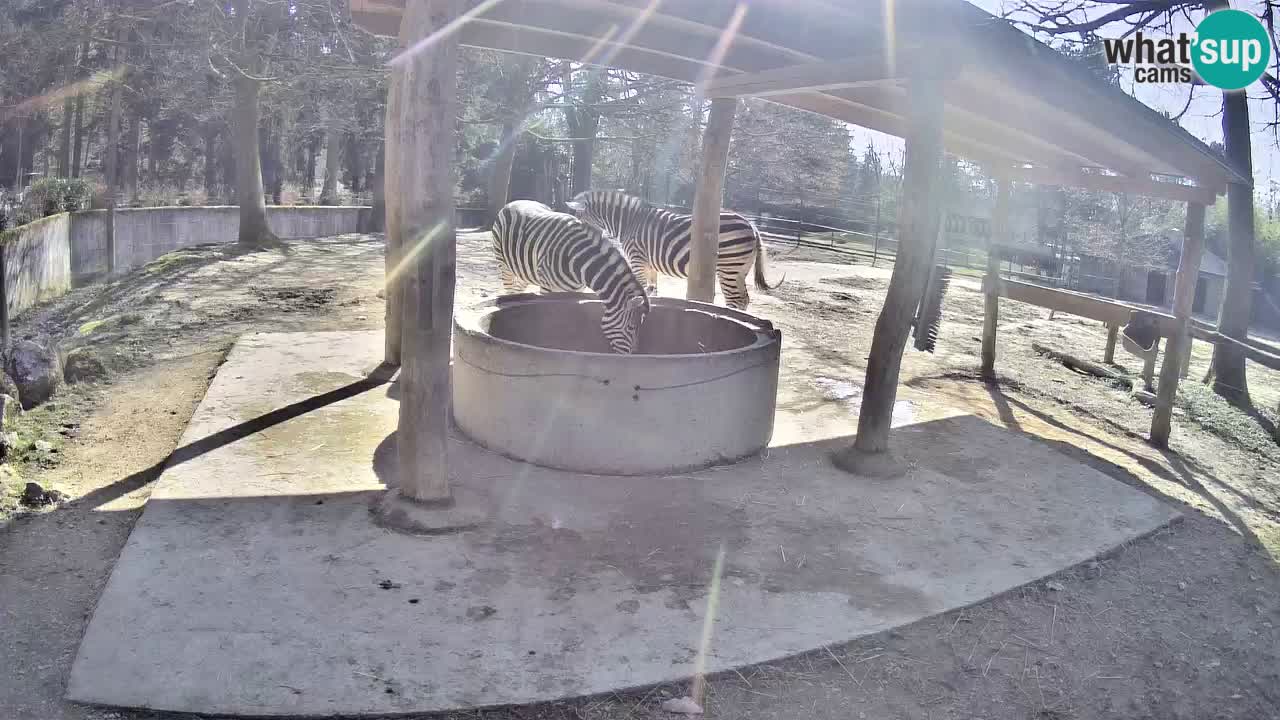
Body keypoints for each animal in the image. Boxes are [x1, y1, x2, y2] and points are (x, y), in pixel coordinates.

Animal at [492, 200, 650, 354]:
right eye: (631, 327)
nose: (633, 355)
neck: (579, 261)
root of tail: (515, 201)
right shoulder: (546, 287)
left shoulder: (577, 289)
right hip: (504, 266)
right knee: (510, 289)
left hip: (524, 272)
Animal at [564, 190, 778, 310]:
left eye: (580, 219)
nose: (580, 240)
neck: (628, 223)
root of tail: (752, 226)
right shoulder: (649, 263)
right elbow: (652, 290)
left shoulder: (637, 258)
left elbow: (640, 287)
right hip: (740, 269)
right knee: (744, 299)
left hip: (729, 267)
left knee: (735, 299)